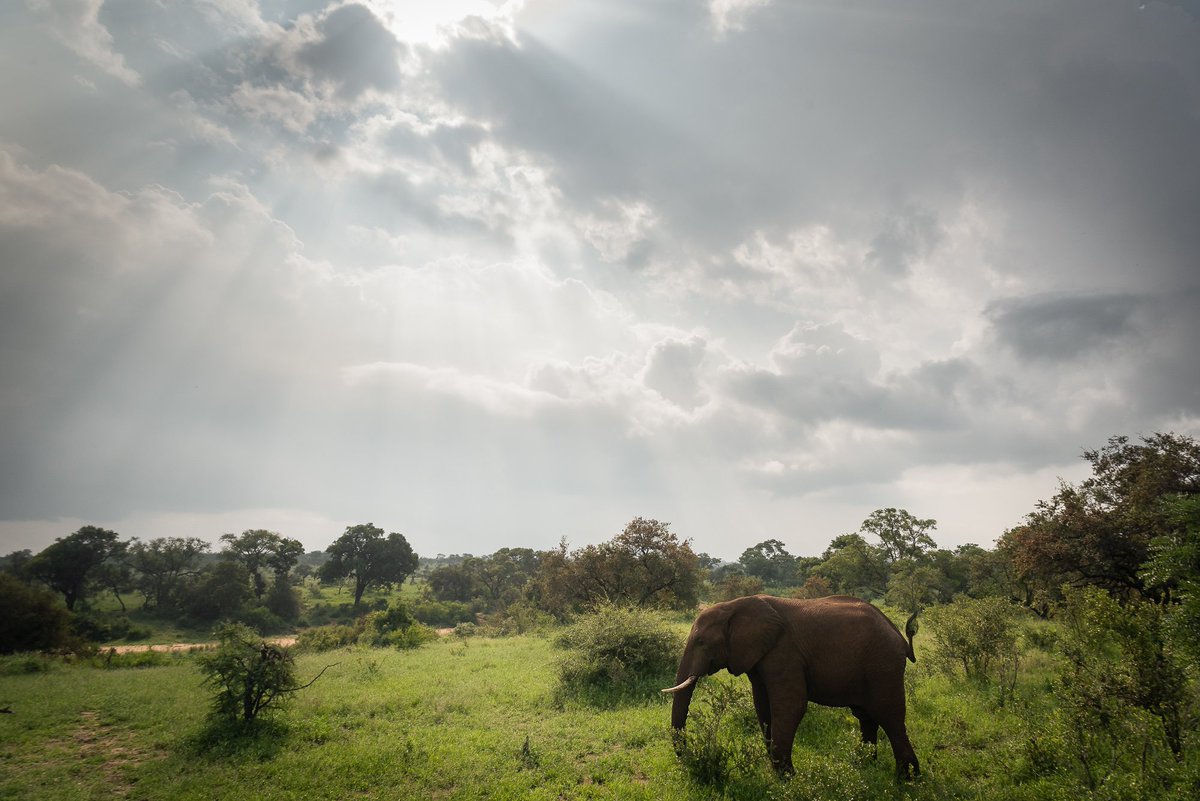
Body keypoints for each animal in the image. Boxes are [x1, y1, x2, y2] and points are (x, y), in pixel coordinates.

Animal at [663, 594, 920, 779]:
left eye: (701, 642)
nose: (687, 757)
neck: (735, 605)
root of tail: (899, 636)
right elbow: (762, 707)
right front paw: (778, 774)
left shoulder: (784, 652)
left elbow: (790, 706)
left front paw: (787, 778)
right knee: (866, 716)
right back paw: (865, 766)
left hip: (883, 665)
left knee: (889, 716)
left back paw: (908, 779)